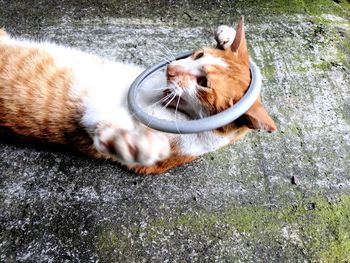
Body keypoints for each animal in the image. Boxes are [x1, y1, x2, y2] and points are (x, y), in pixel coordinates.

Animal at [0, 18, 278, 175]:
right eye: (198, 55)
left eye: (203, 84)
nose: (170, 69)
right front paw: (226, 36)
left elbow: (112, 134)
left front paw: (136, 144)